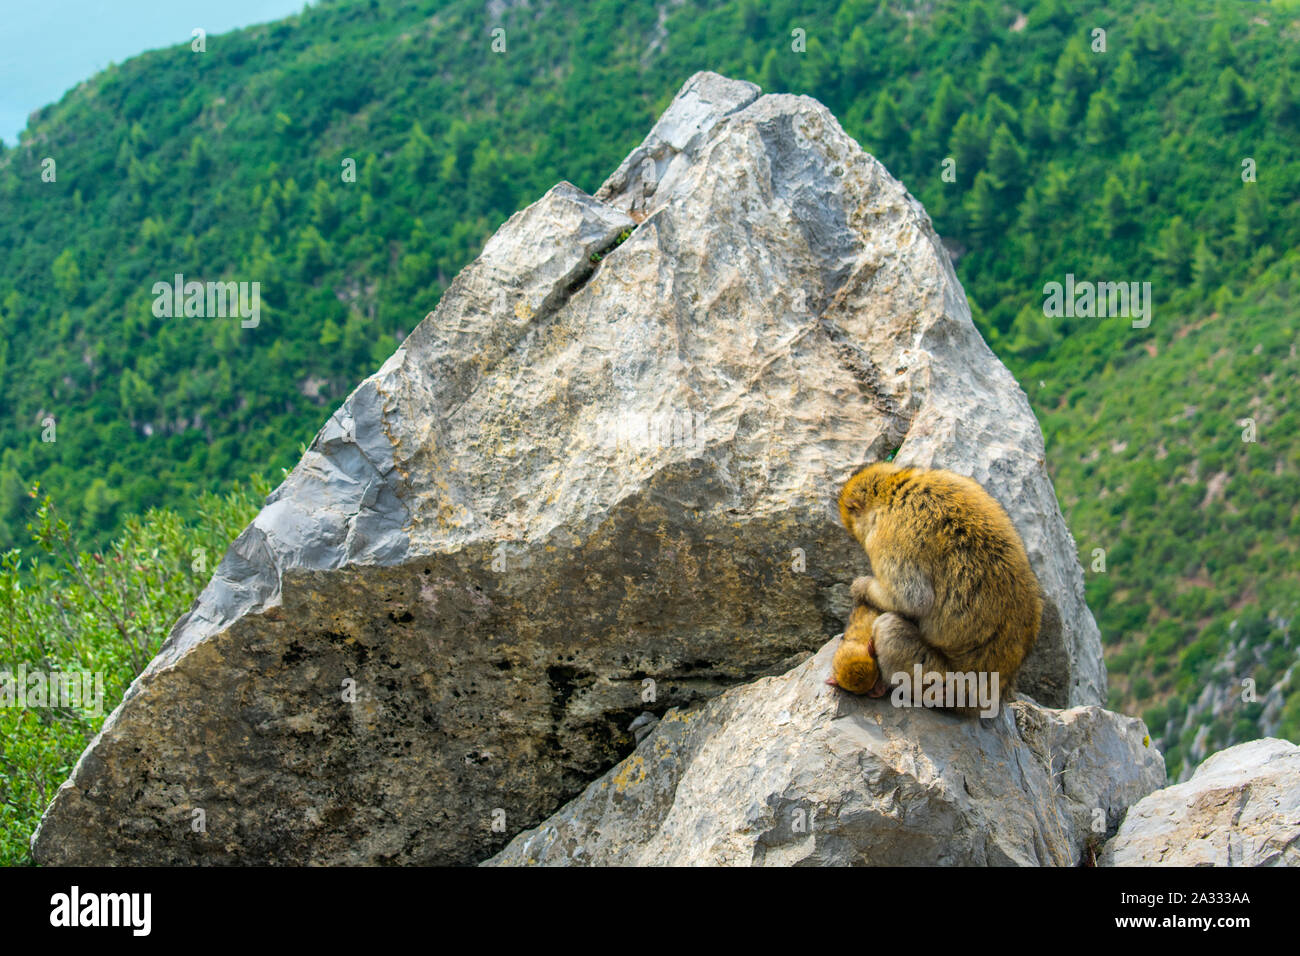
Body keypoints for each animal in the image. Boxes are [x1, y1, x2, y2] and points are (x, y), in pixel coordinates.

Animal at [830, 462, 1042, 714]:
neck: (893, 491)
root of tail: (997, 690)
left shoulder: (888, 533)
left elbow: (913, 599)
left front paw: (859, 587)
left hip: (944, 681)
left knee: (890, 628)